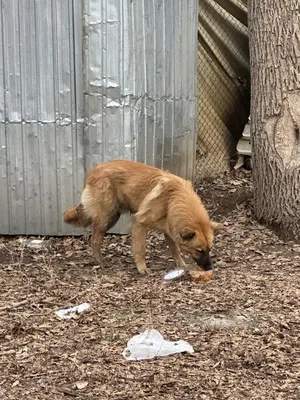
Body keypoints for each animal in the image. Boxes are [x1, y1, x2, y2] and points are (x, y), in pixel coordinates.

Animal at [63, 159, 223, 276]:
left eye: (209, 249)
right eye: (199, 250)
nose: (209, 267)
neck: (173, 199)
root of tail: (94, 170)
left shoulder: (169, 229)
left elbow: (175, 250)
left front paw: (182, 265)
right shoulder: (140, 224)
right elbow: (140, 249)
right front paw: (142, 268)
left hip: (113, 216)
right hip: (107, 217)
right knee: (95, 239)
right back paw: (101, 261)